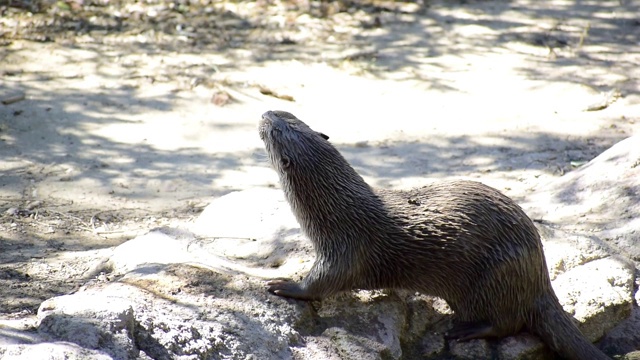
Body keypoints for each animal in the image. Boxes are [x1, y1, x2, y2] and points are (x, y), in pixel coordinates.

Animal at [258, 110, 608, 360]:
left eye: (275, 130)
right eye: (291, 115)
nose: (265, 113)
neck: (339, 211)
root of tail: (540, 279)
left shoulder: (346, 248)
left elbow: (324, 282)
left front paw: (285, 285)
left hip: (496, 277)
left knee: (508, 322)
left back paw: (465, 331)